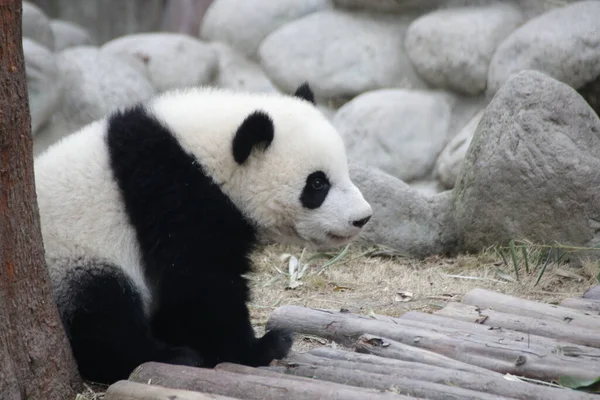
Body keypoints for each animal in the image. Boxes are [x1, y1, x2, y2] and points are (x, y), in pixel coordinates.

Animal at [34, 83, 370, 384]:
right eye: (317, 184)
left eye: (344, 171)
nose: (362, 218)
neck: (204, 155)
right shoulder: (174, 197)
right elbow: (201, 285)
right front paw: (262, 347)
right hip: (76, 255)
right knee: (103, 312)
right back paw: (167, 356)